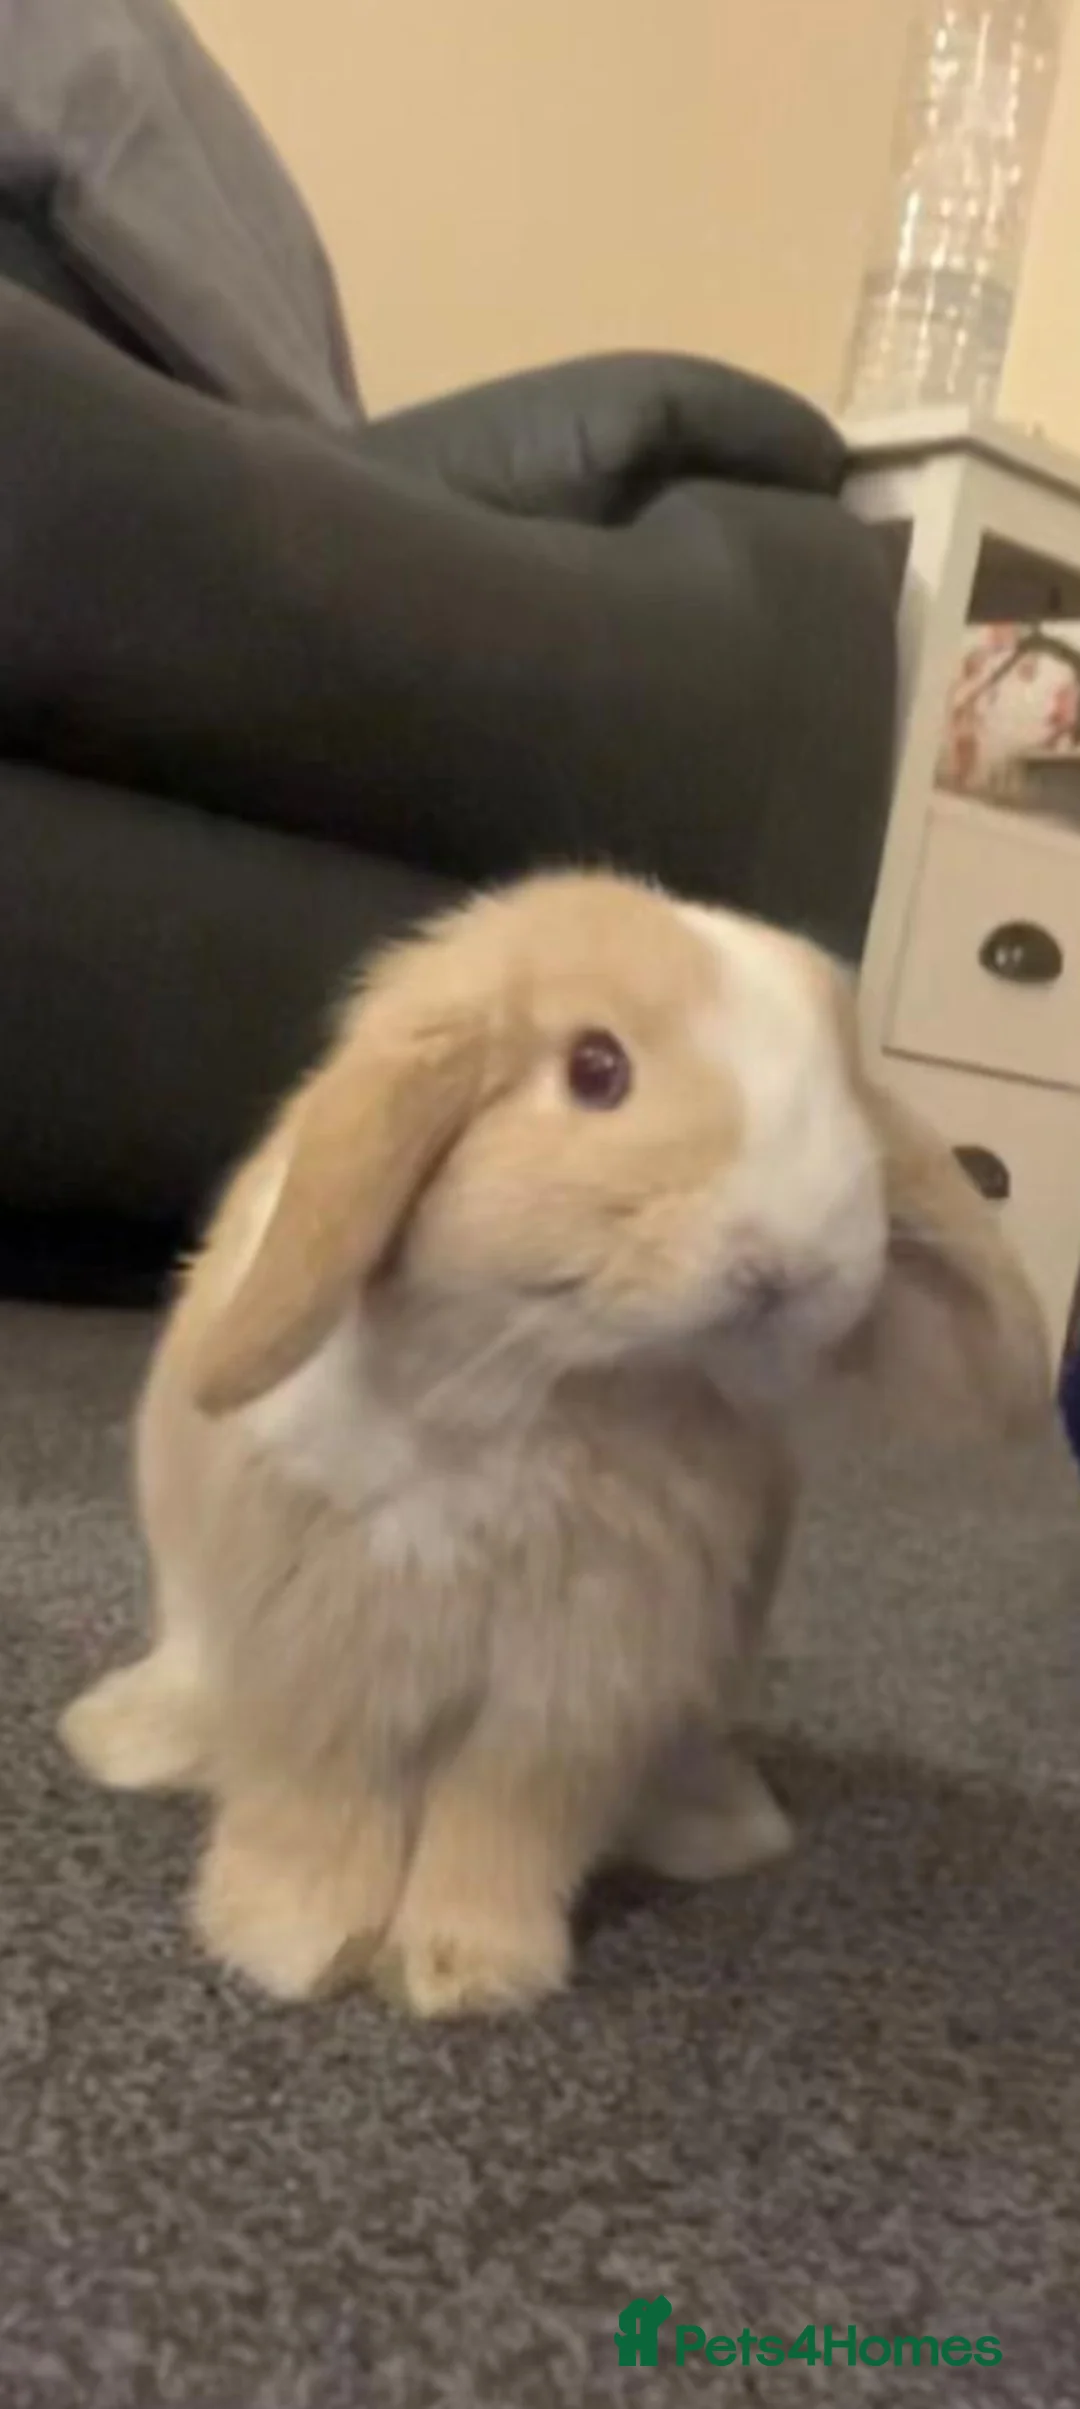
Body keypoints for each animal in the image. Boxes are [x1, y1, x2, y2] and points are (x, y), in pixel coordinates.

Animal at [60, 871, 1049, 2017]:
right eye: (594, 1069)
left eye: (843, 1085)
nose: (790, 1261)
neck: (545, 1392)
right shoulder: (327, 1650)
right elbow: (322, 1800)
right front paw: (291, 1947)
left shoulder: (577, 1686)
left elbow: (502, 1823)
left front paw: (467, 1974)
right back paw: (116, 1739)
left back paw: (727, 1829)